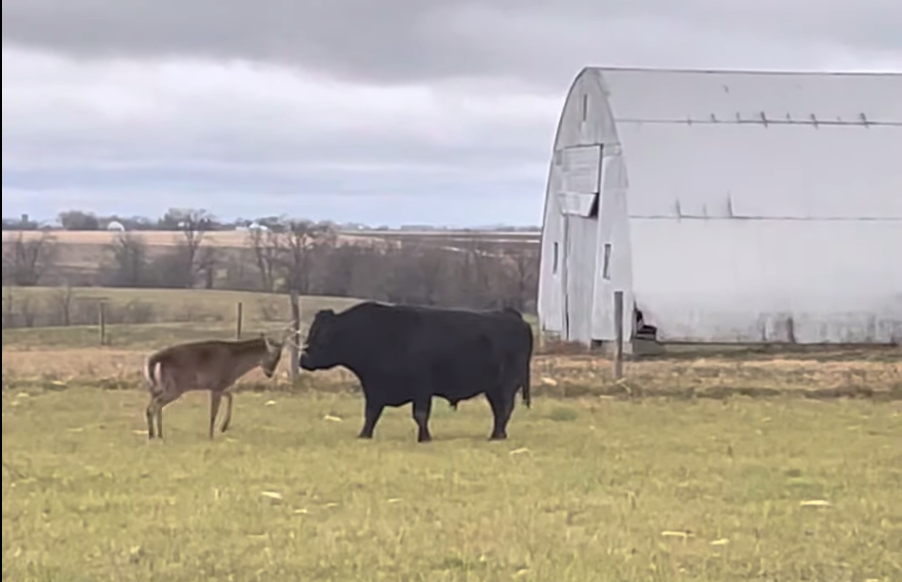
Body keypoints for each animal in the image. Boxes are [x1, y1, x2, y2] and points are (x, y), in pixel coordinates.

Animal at [142, 330, 290, 440]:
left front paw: (223, 427)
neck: (236, 363)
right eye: (273, 356)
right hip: (176, 386)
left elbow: (230, 397)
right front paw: (212, 435)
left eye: (279, 357)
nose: (270, 373)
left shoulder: (218, 386)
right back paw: (156, 435)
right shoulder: (217, 386)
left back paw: (155, 435)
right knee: (156, 405)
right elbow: (214, 412)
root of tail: (156, 358)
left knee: (153, 405)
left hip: (165, 385)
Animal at [300, 304, 532, 444]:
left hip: (506, 384)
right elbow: (371, 413)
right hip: (492, 388)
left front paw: (424, 438)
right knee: (499, 410)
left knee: (505, 409)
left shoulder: (422, 387)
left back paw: (497, 436)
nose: (303, 359)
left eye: (322, 336)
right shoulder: (374, 388)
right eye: (311, 332)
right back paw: (497, 435)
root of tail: (510, 314)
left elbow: (420, 414)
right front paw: (364, 435)